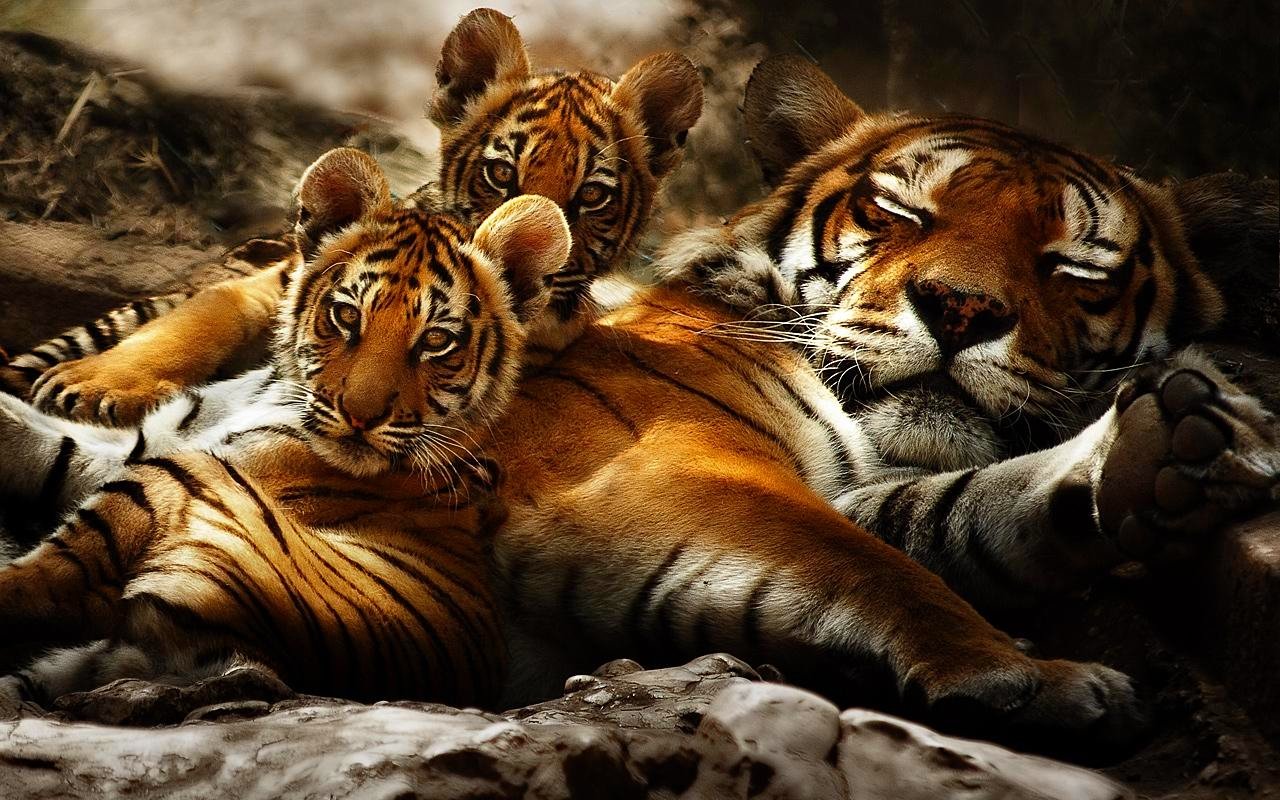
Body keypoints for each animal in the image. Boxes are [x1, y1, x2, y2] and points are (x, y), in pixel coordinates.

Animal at [0, 7, 703, 418]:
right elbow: (197, 322)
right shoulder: (274, 282)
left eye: (593, 196)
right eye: (500, 173)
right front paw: (96, 384)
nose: (539, 252)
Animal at [0, 147, 572, 713]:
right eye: (346, 316)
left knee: (54, 585)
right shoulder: (151, 437)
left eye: (435, 340)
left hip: (178, 482)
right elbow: (46, 442)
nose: (361, 416)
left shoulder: (176, 457)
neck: (273, 388)